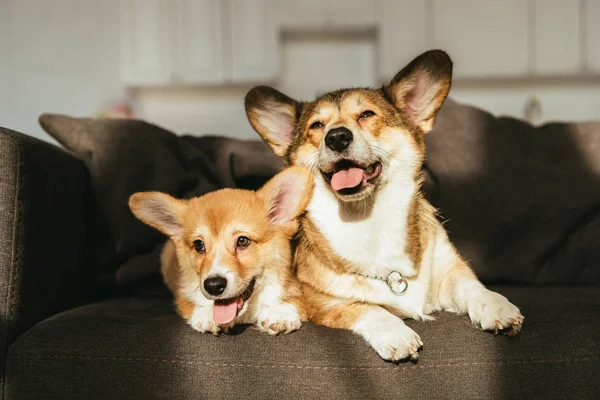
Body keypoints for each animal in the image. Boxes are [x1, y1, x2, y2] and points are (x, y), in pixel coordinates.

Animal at [128, 166, 312, 334]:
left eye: (242, 241)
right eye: (199, 245)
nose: (213, 286)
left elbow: (295, 301)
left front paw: (280, 313)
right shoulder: (183, 296)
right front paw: (208, 314)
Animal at [246, 50, 524, 362]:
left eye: (367, 115)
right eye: (317, 126)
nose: (337, 136)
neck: (367, 219)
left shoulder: (449, 271)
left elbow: (473, 287)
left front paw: (497, 306)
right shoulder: (323, 301)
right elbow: (366, 307)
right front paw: (395, 333)